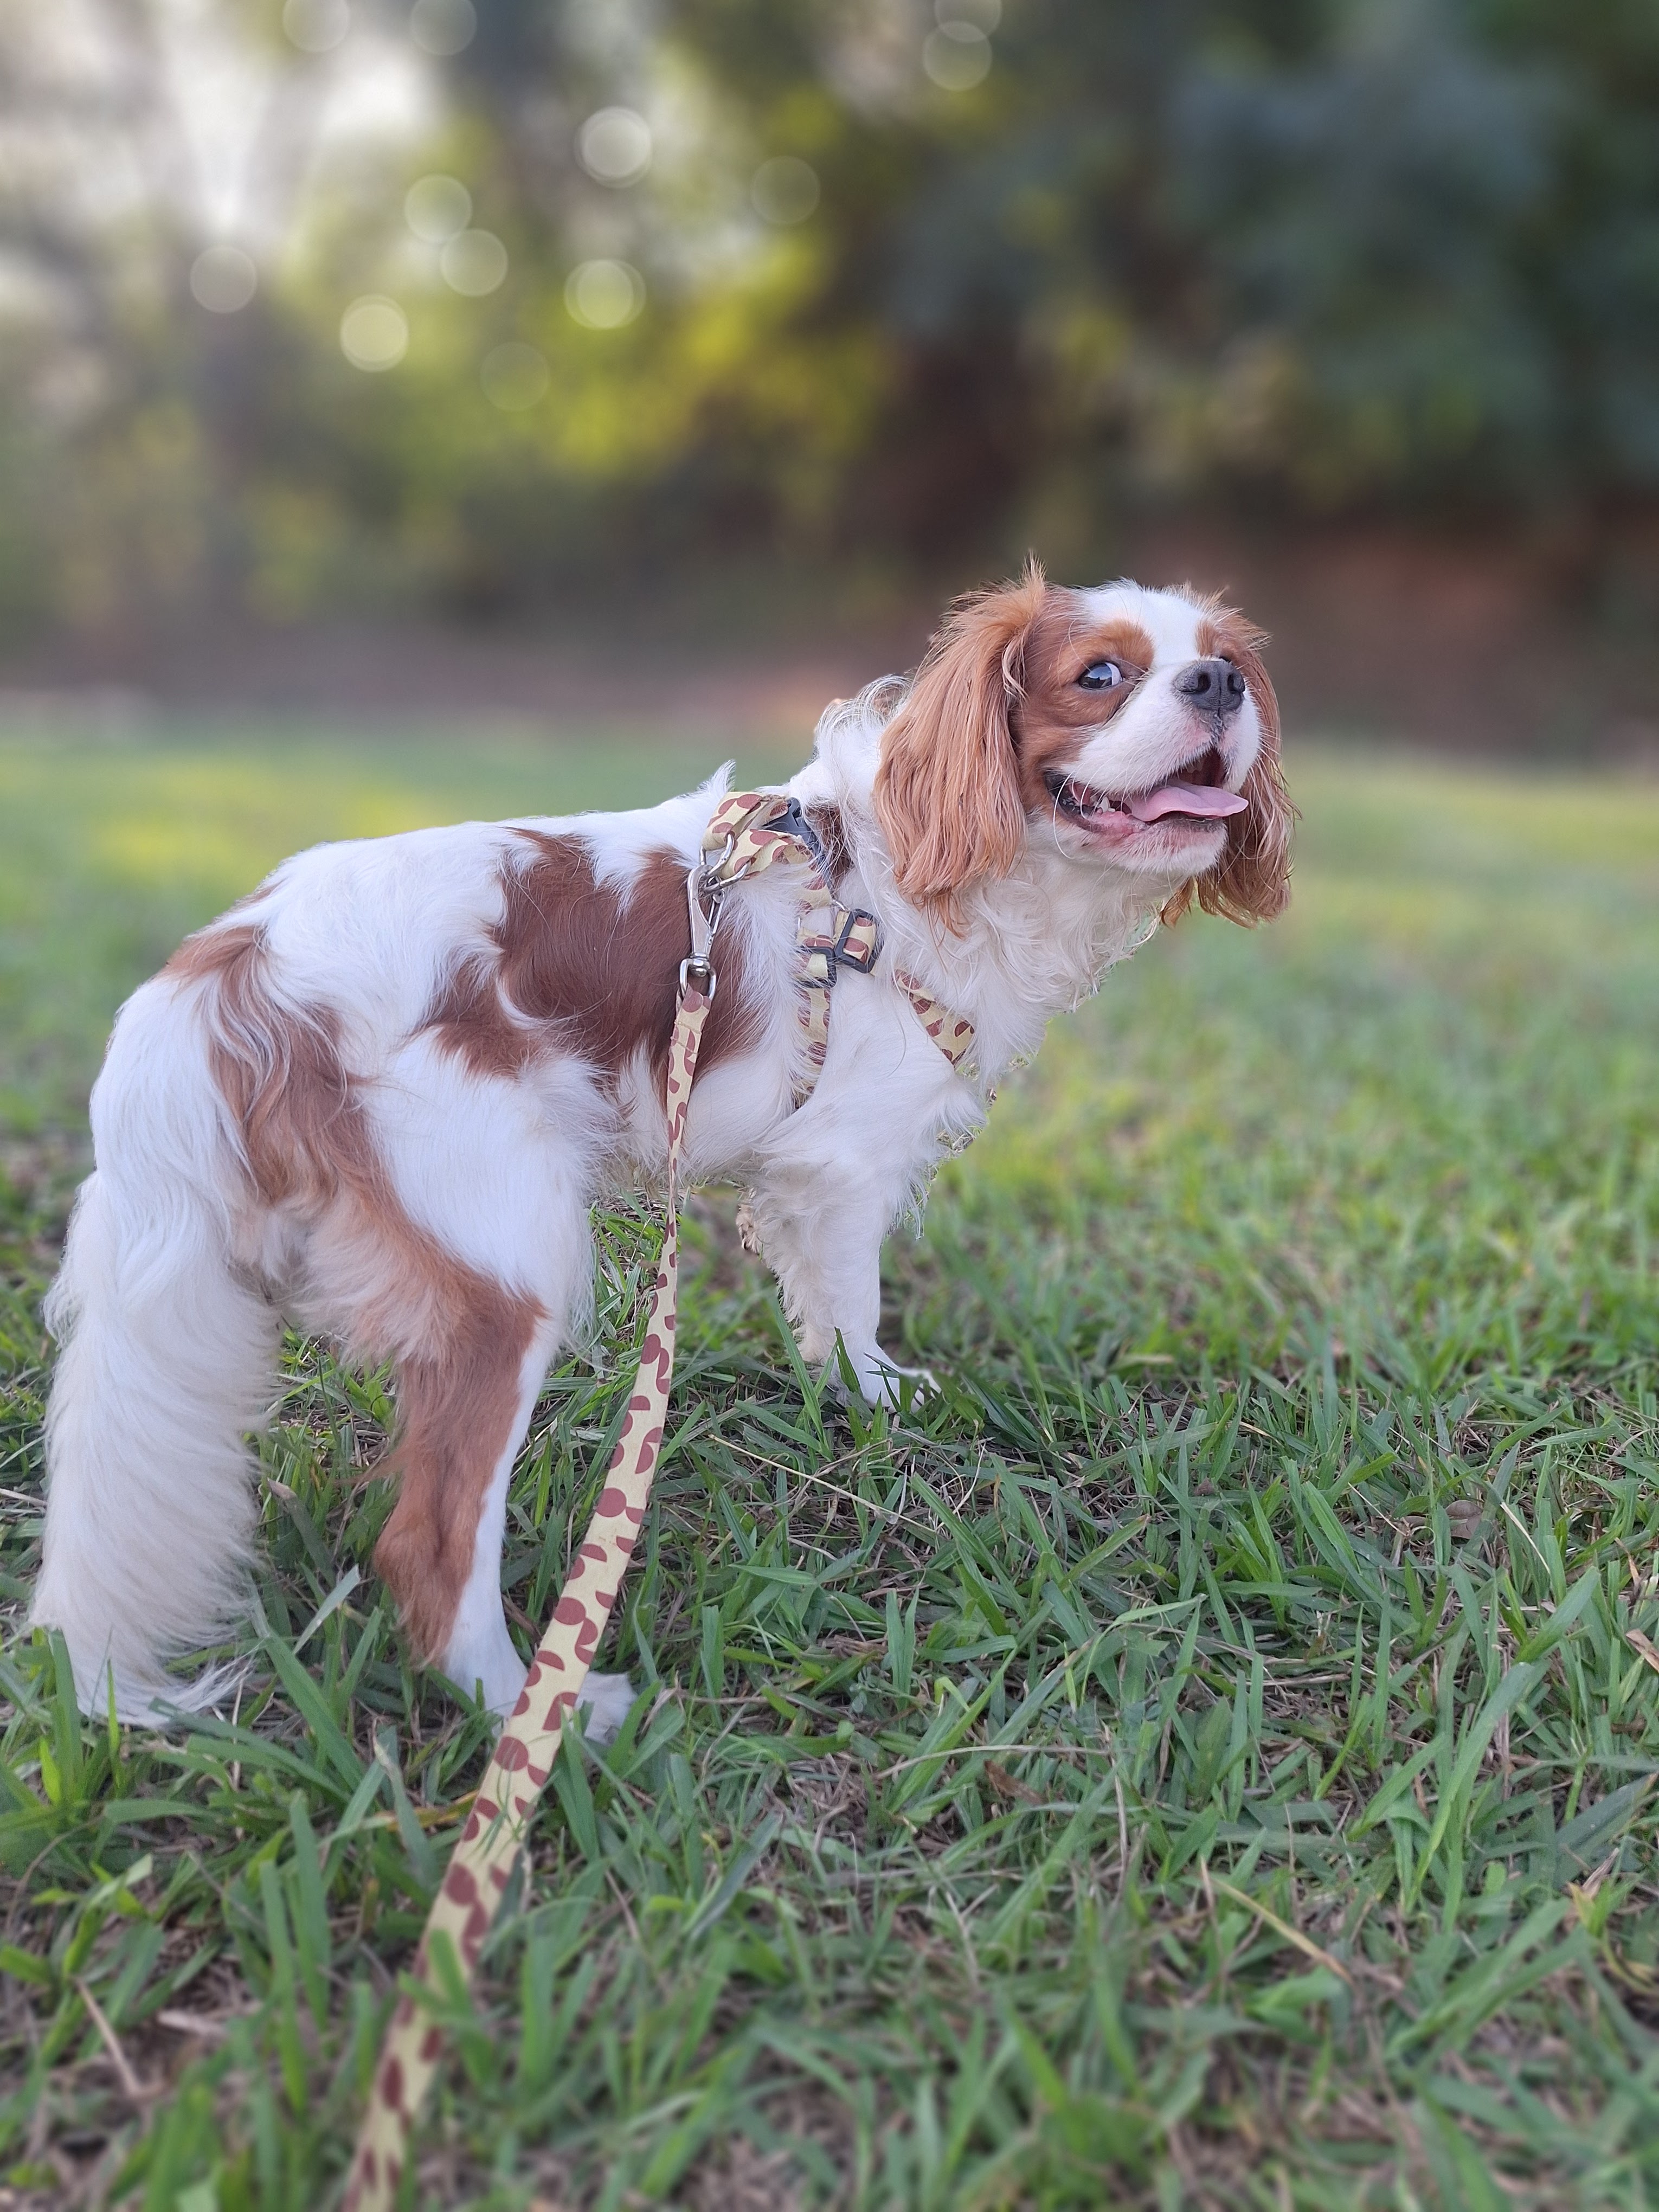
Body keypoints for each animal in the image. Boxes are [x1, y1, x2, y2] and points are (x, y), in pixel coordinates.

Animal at [32, 557, 1291, 1725]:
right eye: (1101, 676)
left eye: (1222, 659)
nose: (1218, 685)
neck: (908, 876)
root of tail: (230, 971)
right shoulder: (839, 1170)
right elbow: (854, 1306)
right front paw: (881, 1399)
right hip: (510, 1263)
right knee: (431, 1545)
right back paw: (540, 1705)